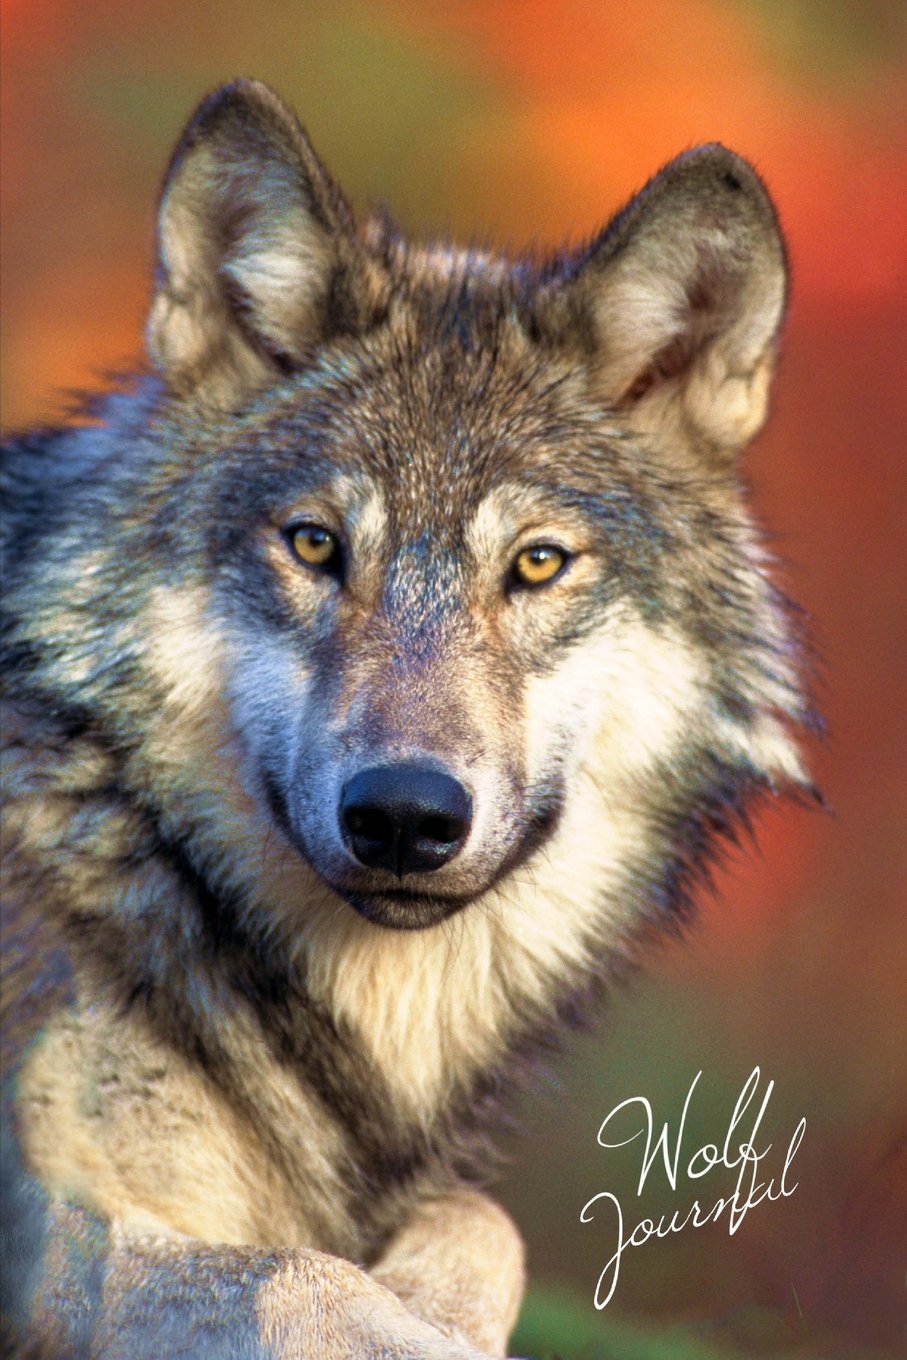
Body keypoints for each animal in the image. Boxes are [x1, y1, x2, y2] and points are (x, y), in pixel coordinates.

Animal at [0, 78, 812, 1358]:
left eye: (537, 563)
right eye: (315, 544)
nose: (401, 815)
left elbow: (483, 1221)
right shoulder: (50, 1222)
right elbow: (297, 1277)